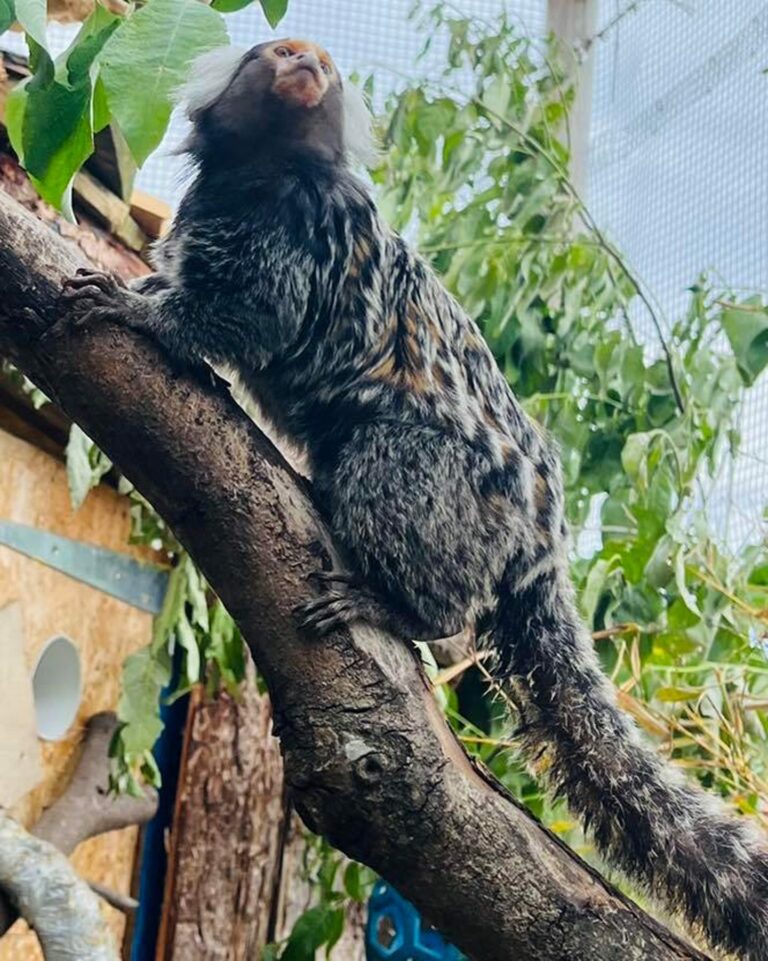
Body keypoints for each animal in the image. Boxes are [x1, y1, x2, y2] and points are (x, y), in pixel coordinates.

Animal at [55, 39, 768, 959]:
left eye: (319, 62)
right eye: (281, 53)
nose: (306, 64)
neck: (262, 173)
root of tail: (545, 534)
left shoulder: (289, 242)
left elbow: (246, 319)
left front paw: (138, 314)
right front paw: (142, 292)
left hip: (452, 490)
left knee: (386, 470)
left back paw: (402, 608)